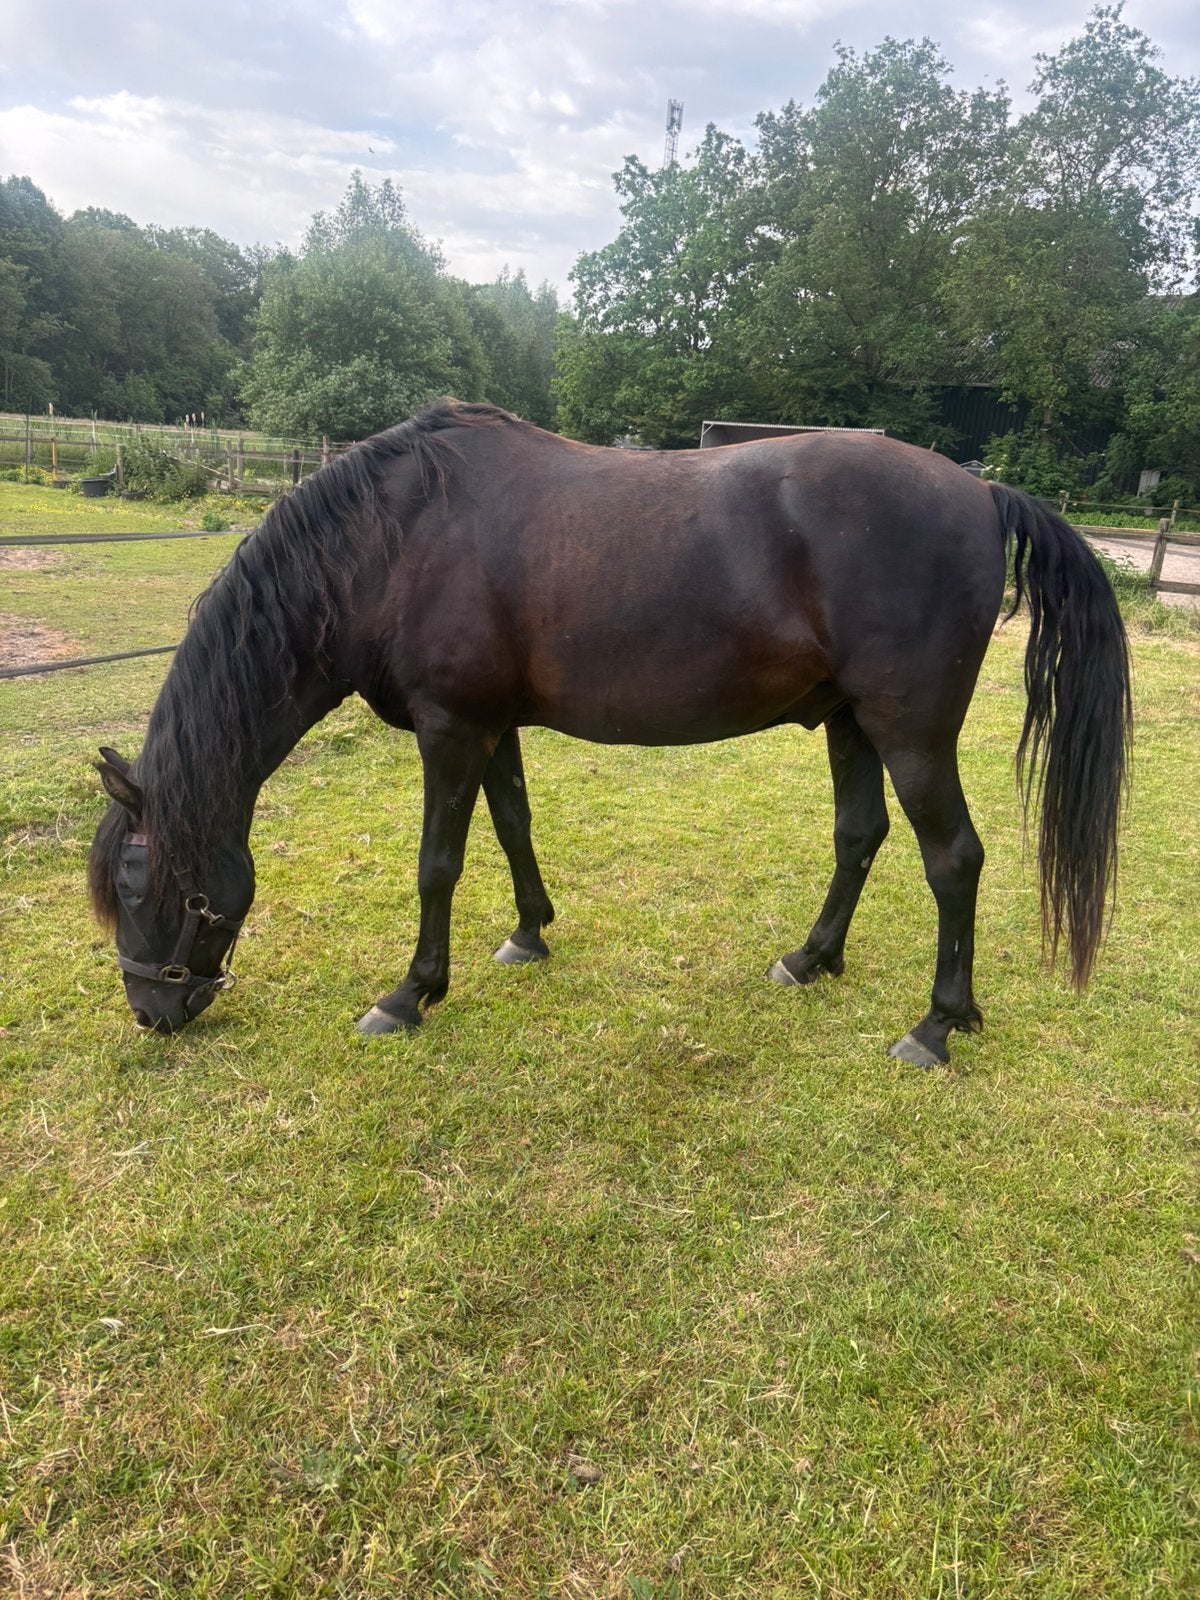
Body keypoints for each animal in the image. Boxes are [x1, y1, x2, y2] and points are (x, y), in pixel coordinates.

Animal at [88, 401, 1131, 1066]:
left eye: (139, 885)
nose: (149, 1011)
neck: (389, 544)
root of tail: (983, 492)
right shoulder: (489, 727)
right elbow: (513, 827)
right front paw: (528, 935)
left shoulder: (449, 730)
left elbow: (436, 865)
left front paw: (410, 994)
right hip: (849, 722)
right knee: (860, 836)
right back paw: (811, 959)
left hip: (910, 734)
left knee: (953, 859)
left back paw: (936, 1026)